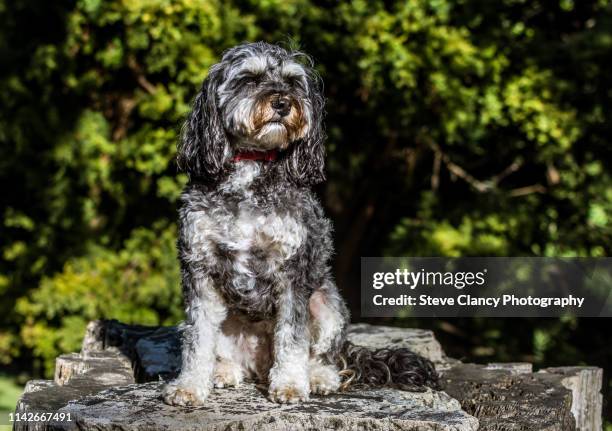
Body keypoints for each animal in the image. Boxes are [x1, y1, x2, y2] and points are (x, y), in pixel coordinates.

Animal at [163, 42, 440, 406]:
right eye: (249, 79)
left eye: (293, 82)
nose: (282, 103)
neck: (251, 168)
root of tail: (260, 363)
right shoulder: (199, 268)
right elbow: (198, 337)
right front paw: (190, 385)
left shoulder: (293, 270)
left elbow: (293, 337)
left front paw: (291, 384)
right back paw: (224, 371)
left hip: (327, 303)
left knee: (326, 354)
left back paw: (318, 376)